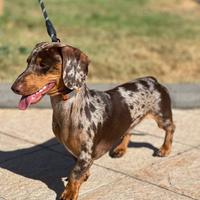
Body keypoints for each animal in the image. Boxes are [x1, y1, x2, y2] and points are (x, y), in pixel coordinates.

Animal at [11, 41, 175, 199]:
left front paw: (69, 193)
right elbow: (78, 167)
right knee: (129, 131)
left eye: (43, 64)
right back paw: (121, 148)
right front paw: (84, 176)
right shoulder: (76, 151)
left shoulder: (86, 151)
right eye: (28, 62)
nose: (14, 88)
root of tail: (152, 80)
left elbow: (74, 174)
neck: (69, 108)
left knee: (171, 128)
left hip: (162, 116)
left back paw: (164, 149)